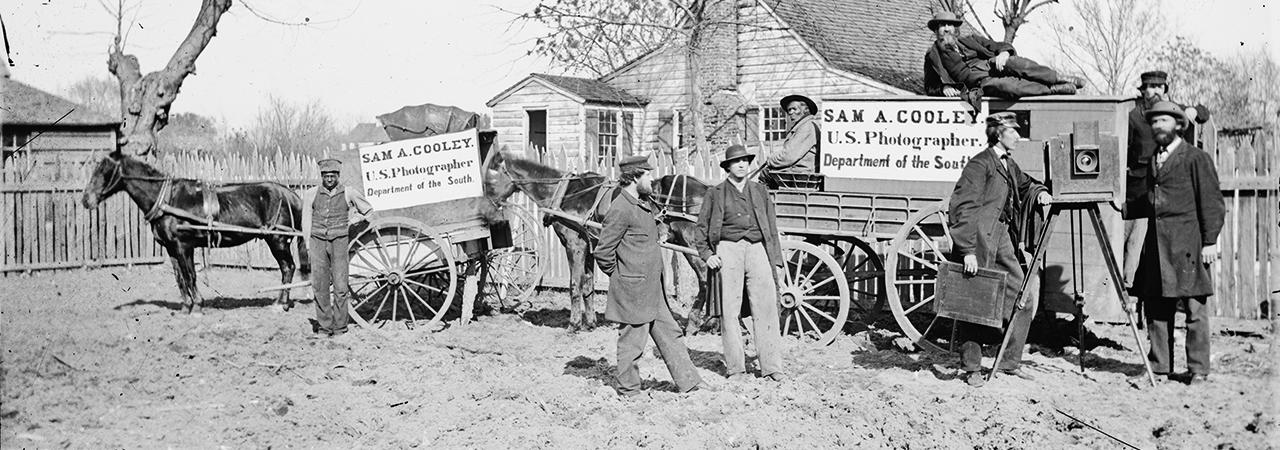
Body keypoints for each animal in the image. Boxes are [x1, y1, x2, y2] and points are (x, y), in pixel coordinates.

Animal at [81, 150, 309, 313]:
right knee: (287, 268)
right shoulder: (172, 248)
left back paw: (281, 304)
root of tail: (291, 195)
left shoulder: (184, 246)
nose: (86, 200)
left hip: (278, 240)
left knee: (288, 268)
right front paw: (186, 307)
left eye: (104, 170)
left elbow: (190, 276)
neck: (167, 200)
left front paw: (198, 305)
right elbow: (180, 278)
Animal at [481, 152, 721, 332]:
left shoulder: (574, 244)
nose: (486, 206)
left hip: (690, 245)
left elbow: (575, 283)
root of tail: (707, 190)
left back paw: (694, 323)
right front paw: (590, 323)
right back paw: (713, 322)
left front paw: (574, 325)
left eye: (490, 179)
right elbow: (588, 283)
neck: (565, 193)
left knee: (705, 280)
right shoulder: (589, 246)